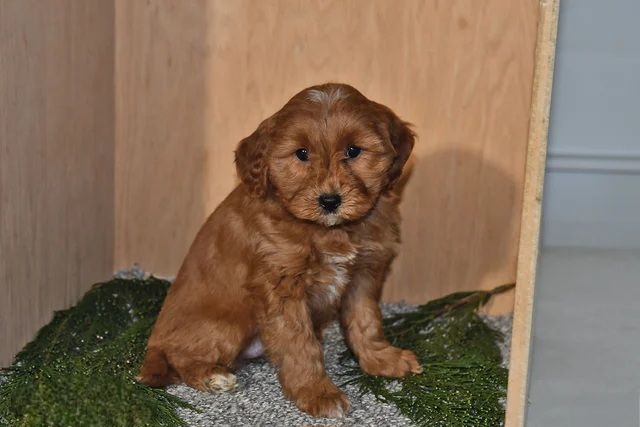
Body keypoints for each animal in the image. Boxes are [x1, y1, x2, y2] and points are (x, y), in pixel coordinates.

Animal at [138, 83, 421, 418]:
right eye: (302, 154)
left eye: (354, 151)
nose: (330, 201)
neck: (328, 230)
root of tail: (154, 341)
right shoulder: (282, 287)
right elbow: (299, 344)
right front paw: (317, 392)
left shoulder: (364, 274)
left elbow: (366, 321)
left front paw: (381, 360)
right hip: (229, 321)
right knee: (180, 358)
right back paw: (213, 377)